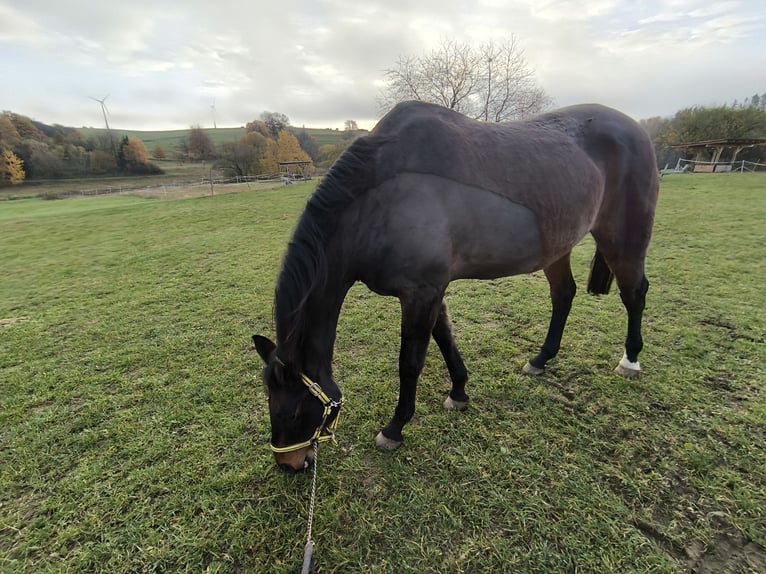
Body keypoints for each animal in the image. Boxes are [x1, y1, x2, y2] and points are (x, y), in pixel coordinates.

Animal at [253, 100, 659, 472]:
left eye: (291, 412)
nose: (289, 464)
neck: (382, 197)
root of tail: (636, 130)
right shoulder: (432, 291)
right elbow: (446, 339)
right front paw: (459, 392)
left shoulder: (421, 293)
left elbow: (410, 363)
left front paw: (395, 428)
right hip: (558, 247)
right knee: (563, 295)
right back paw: (540, 359)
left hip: (622, 239)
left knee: (634, 294)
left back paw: (630, 360)